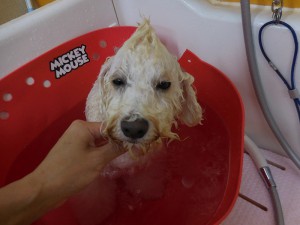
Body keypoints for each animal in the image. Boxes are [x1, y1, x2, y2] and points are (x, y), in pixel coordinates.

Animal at [71, 19, 202, 225]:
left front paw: (148, 191)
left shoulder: (149, 162)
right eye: (117, 81)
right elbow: (93, 198)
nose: (133, 128)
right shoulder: (92, 175)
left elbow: (146, 180)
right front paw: (94, 215)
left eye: (164, 84)